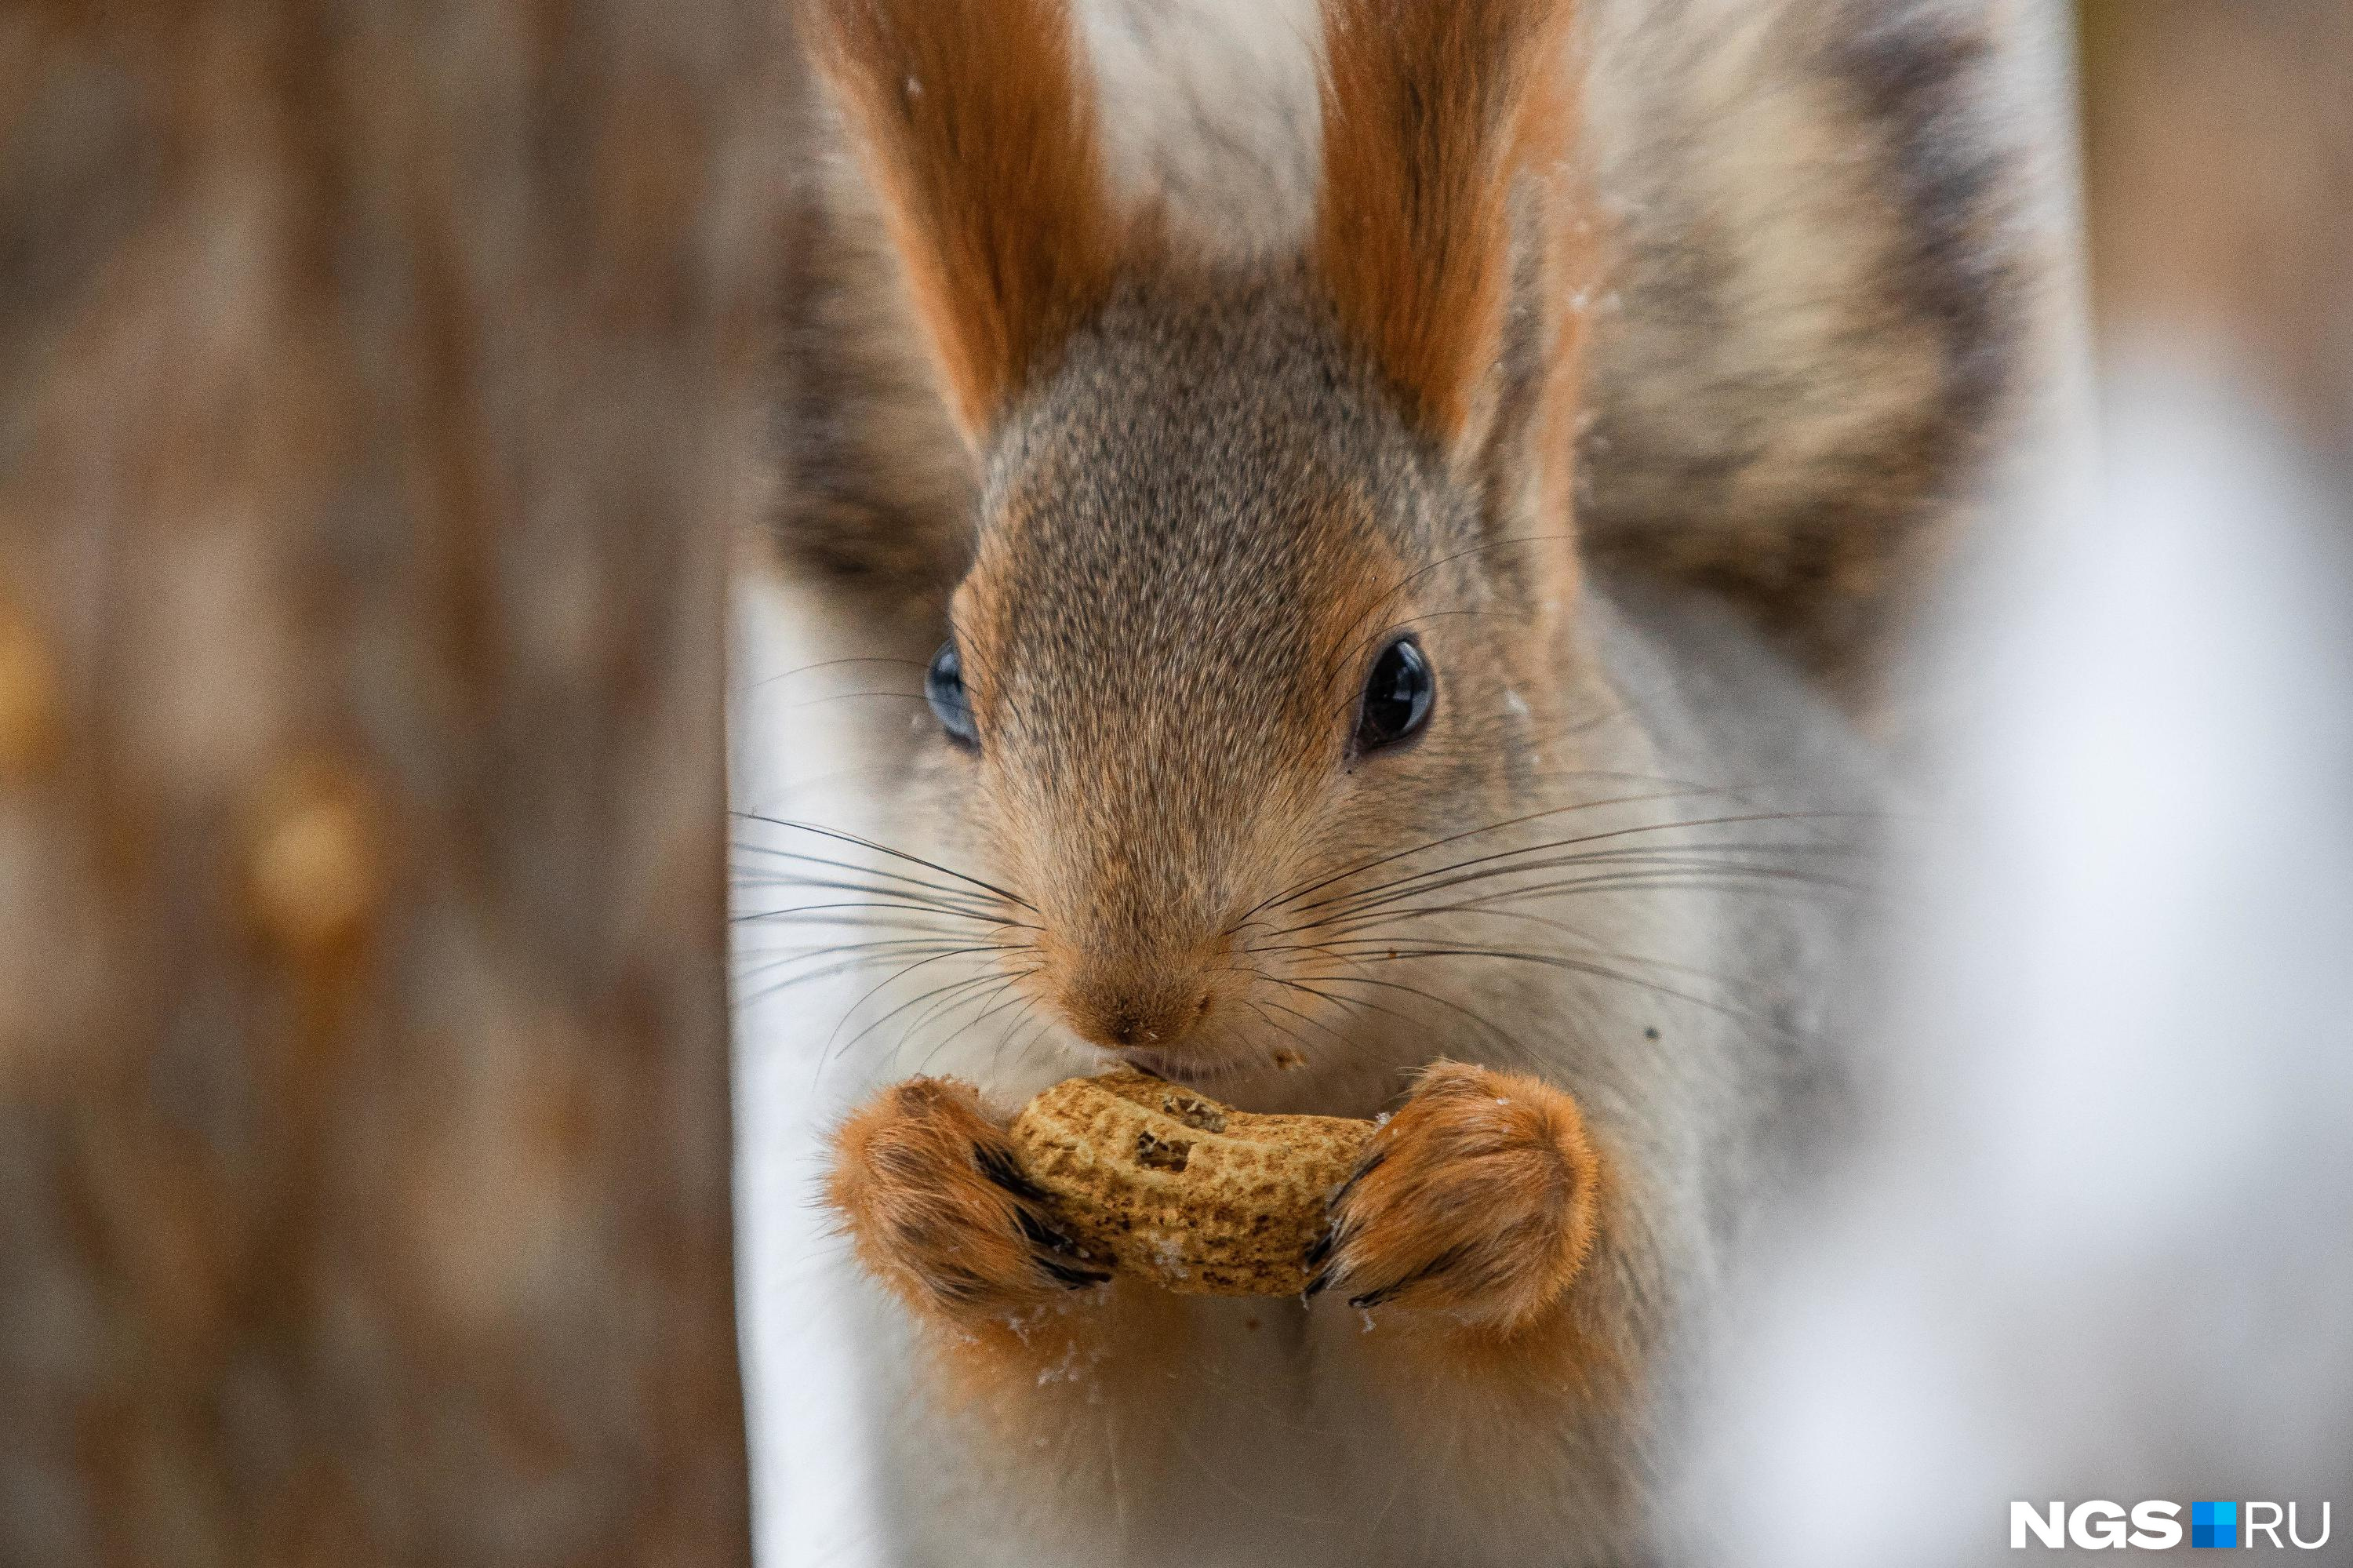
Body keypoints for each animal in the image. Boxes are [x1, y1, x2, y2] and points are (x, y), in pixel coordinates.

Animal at [748, 0, 2024, 1553]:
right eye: (946, 685)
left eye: (1403, 685)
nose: (1127, 997)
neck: (1298, 1084)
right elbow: (1036, 1434)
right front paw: (920, 1185)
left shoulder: (1687, 1087)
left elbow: (1618, 1389)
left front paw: (1493, 1183)